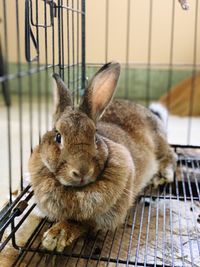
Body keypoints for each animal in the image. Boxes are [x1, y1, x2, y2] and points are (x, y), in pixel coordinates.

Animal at [28, 62, 177, 253]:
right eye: (58, 137)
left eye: (94, 136)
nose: (82, 171)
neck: (76, 190)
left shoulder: (103, 216)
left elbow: (82, 223)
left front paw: (56, 236)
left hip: (159, 143)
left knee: (171, 155)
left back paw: (162, 175)